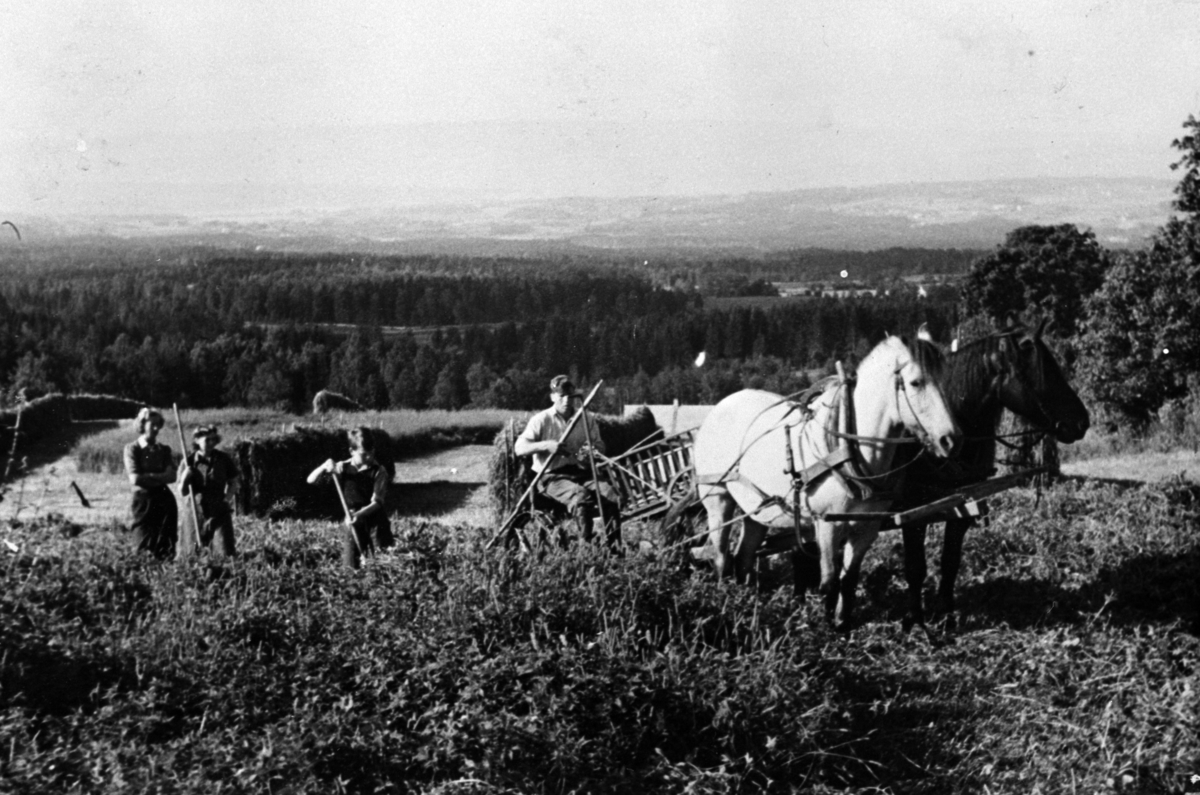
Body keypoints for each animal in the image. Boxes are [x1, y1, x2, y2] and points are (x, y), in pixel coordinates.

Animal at [696, 333, 955, 634]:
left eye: (946, 378)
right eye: (916, 382)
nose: (951, 440)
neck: (852, 447)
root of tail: (721, 405)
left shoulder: (867, 527)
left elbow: (849, 579)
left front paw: (843, 625)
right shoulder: (827, 524)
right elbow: (829, 581)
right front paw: (827, 626)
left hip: (758, 509)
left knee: (743, 556)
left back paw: (748, 601)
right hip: (718, 498)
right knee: (720, 556)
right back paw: (726, 599)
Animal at [897, 319, 1094, 634]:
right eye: (1046, 371)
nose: (1081, 422)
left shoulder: (962, 509)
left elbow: (950, 561)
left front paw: (947, 615)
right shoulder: (912, 514)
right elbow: (915, 568)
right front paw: (914, 620)